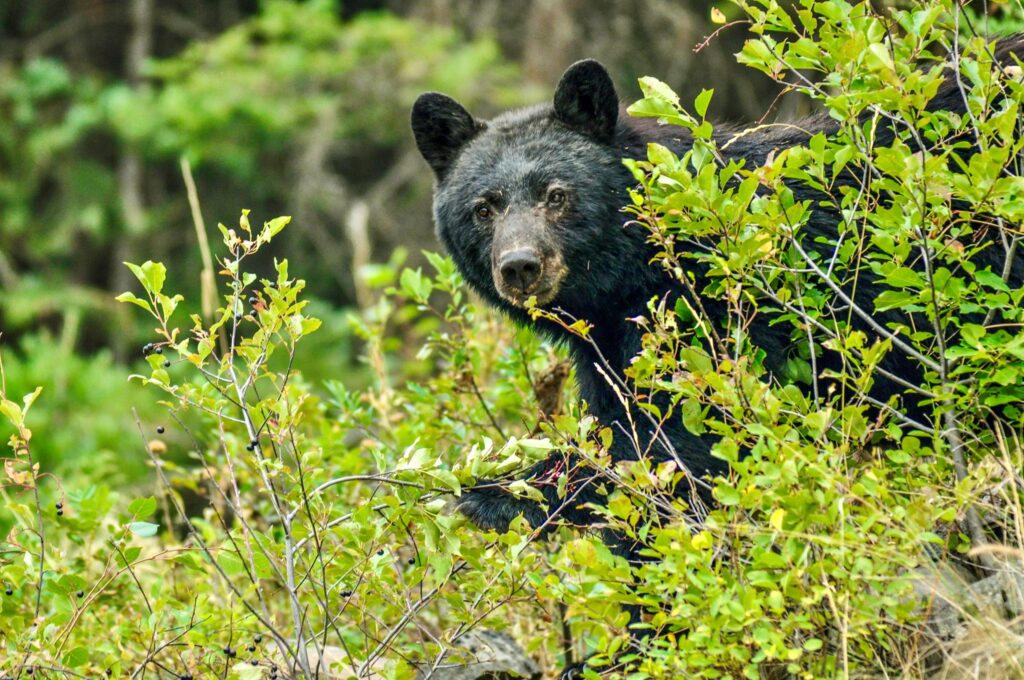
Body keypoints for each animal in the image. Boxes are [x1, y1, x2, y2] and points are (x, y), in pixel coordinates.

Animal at [410, 44, 1024, 538]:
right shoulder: (606, 340)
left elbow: (679, 446)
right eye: (483, 208)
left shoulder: (705, 308)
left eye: (556, 195)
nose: (520, 266)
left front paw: (495, 493)